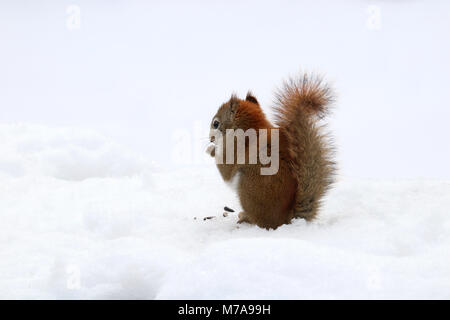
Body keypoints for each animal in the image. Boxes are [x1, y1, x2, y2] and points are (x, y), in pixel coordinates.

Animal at [207, 73, 334, 228]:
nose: (210, 139)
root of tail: (285, 219)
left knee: (260, 221)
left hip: (248, 189)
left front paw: (211, 150)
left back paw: (245, 218)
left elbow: (225, 169)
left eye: (216, 123)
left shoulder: (234, 150)